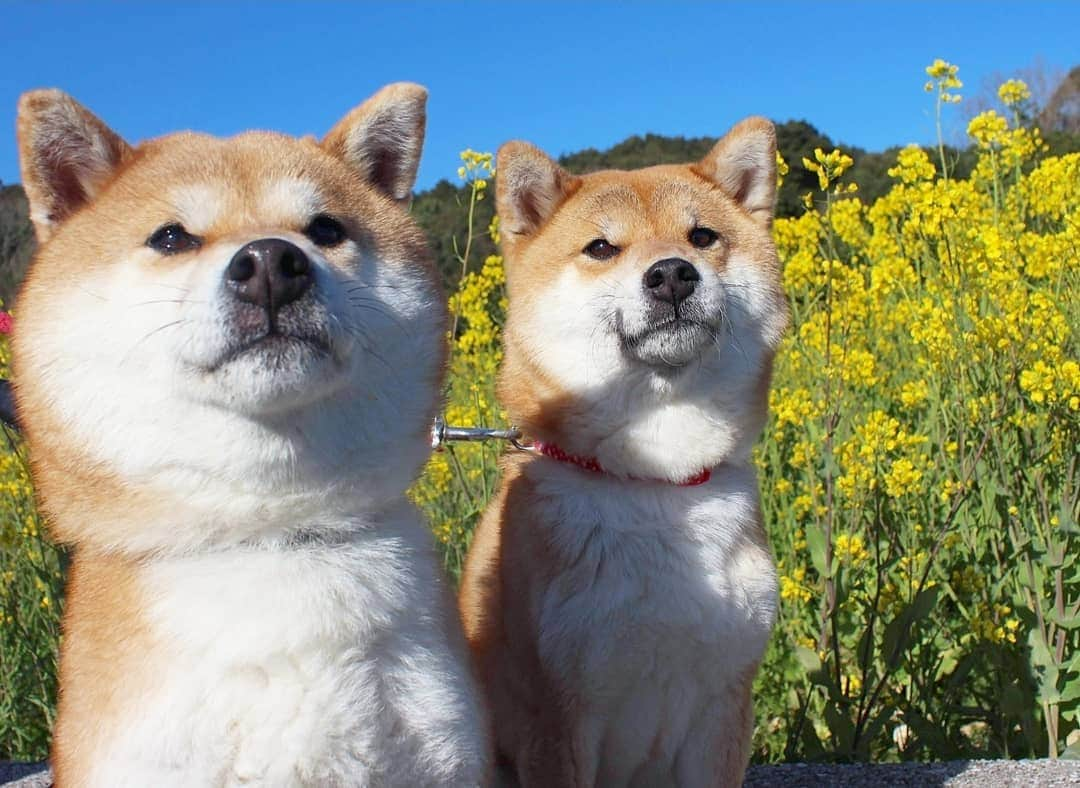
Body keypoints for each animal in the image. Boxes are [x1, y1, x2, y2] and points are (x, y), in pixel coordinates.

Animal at [460, 118, 790, 785]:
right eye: (601, 248)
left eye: (702, 236)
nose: (672, 273)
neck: (655, 482)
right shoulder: (557, 718)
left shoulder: (723, 705)